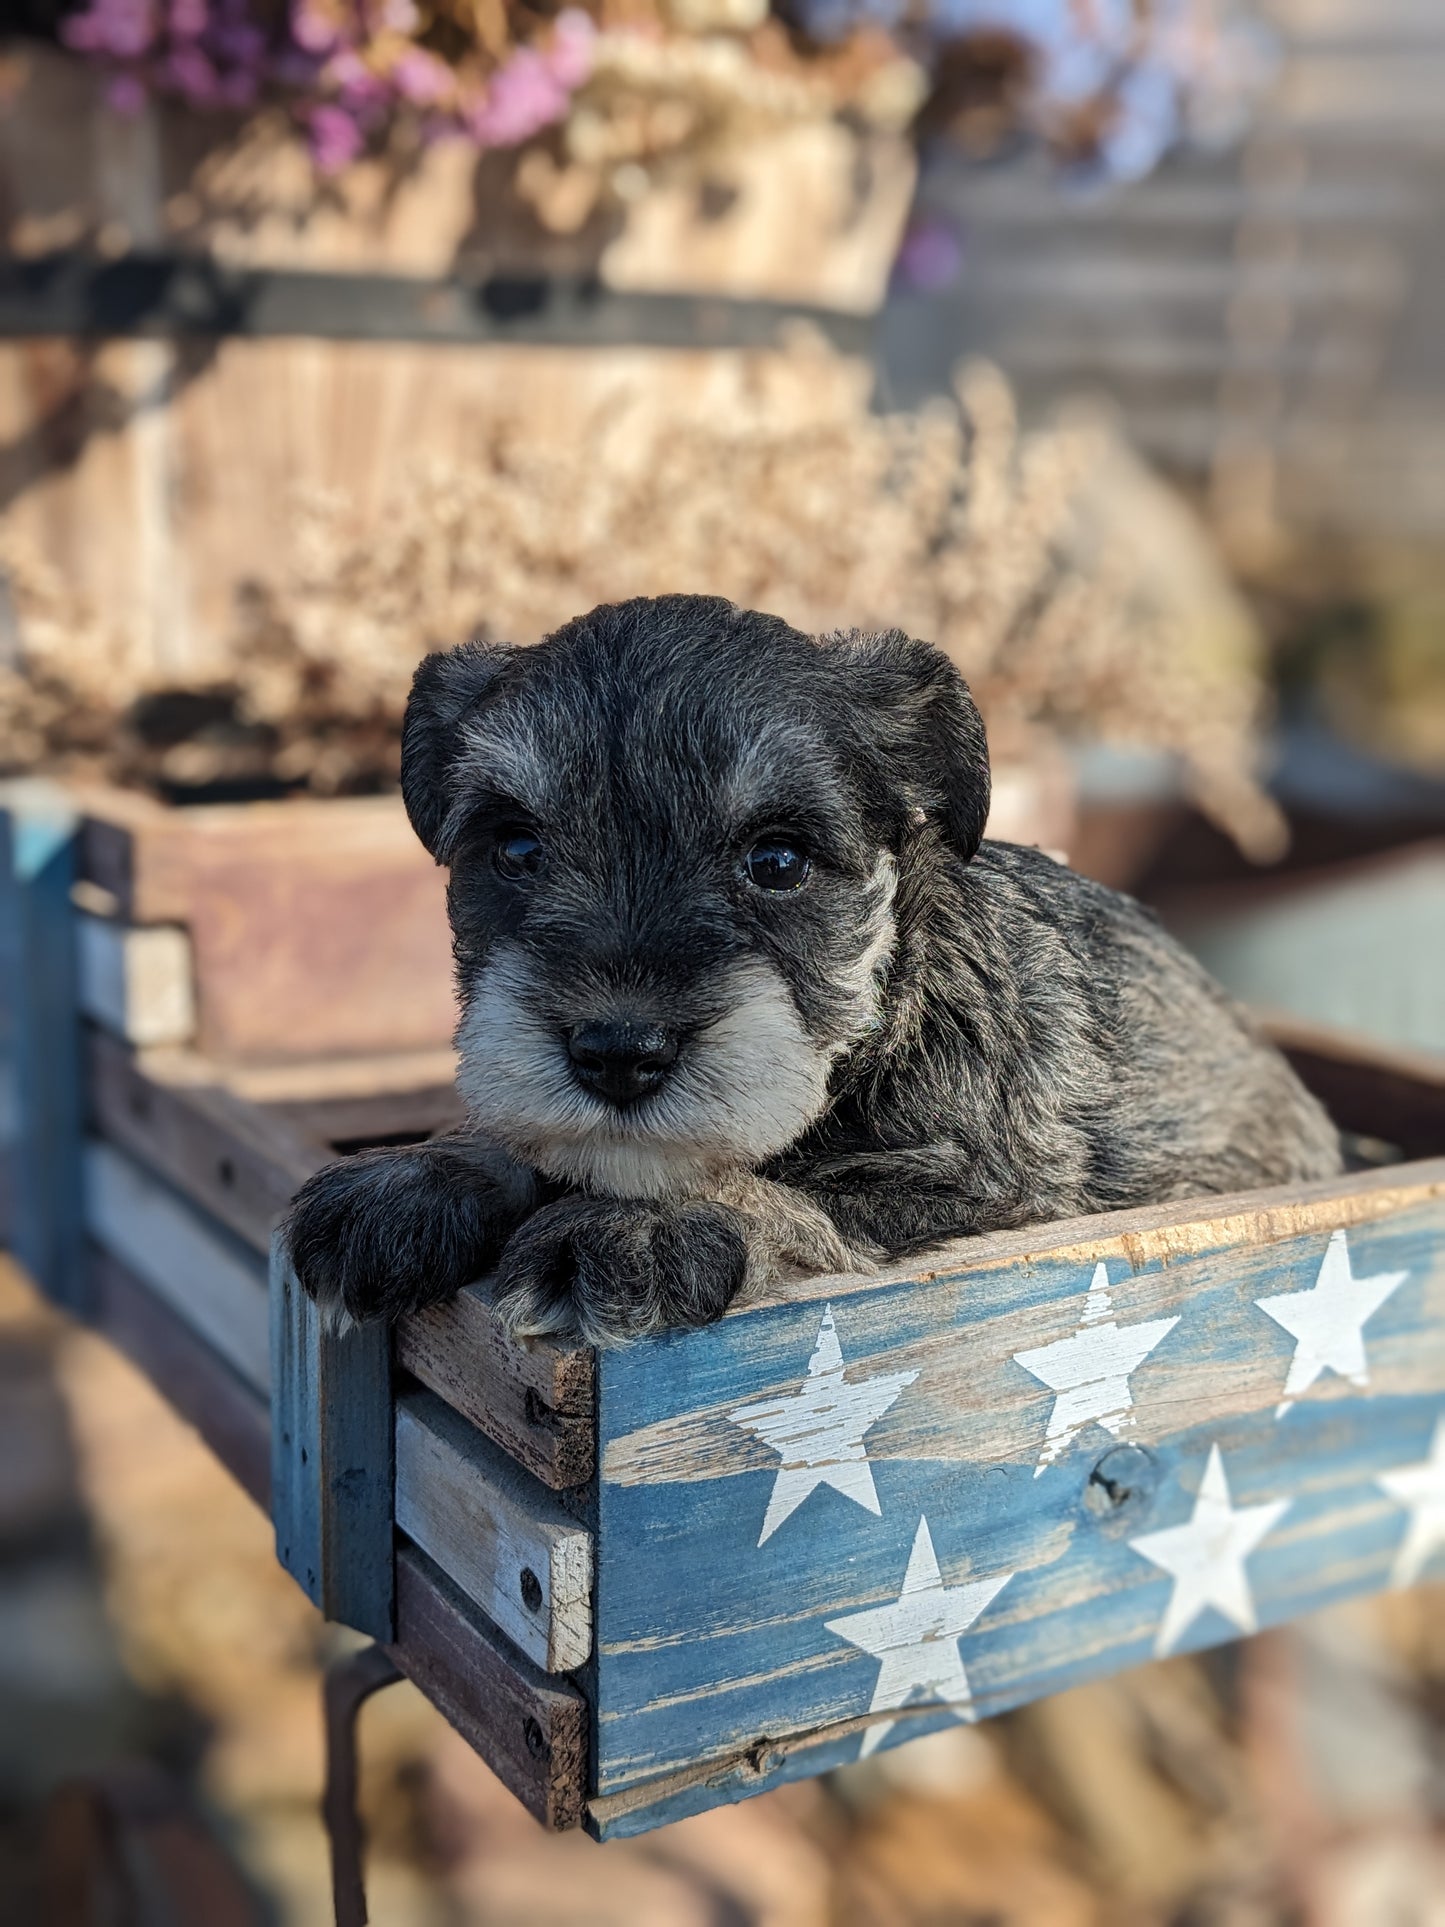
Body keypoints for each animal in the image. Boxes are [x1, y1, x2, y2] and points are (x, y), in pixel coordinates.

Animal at [285, 593, 1348, 1348]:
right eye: (514, 847)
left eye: (778, 860)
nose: (617, 1052)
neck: (891, 1016)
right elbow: (525, 1131)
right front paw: (416, 1173)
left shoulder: (1000, 1198)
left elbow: (818, 1195)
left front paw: (637, 1227)